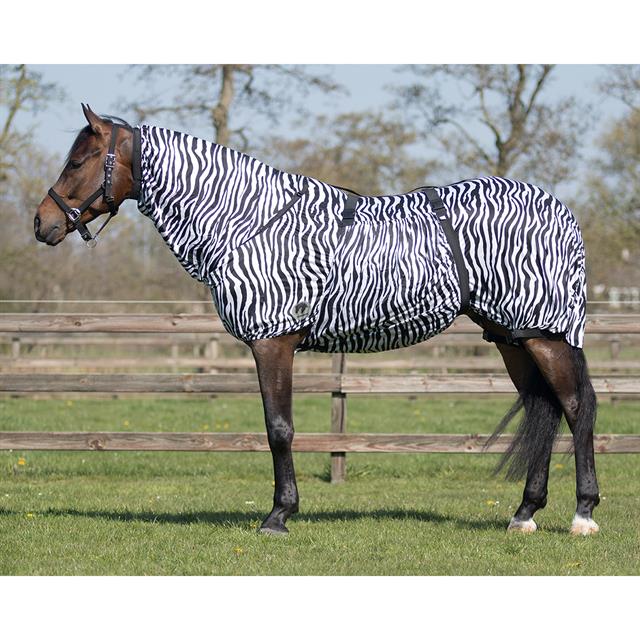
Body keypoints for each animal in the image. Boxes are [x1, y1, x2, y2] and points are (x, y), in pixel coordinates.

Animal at [35, 105, 600, 536]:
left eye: (79, 160)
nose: (42, 222)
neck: (247, 221)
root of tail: (562, 212)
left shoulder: (273, 343)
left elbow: (279, 428)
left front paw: (278, 515)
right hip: (514, 337)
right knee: (545, 407)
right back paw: (524, 514)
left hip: (547, 337)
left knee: (575, 408)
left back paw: (583, 514)